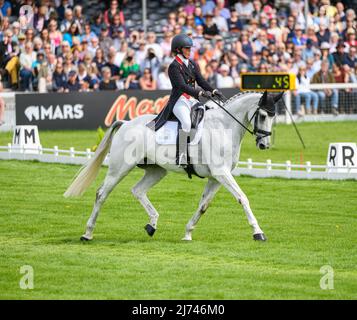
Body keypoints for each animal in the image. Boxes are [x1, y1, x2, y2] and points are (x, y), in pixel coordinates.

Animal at [63, 91, 280, 241]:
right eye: (262, 115)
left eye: (273, 117)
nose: (264, 144)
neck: (223, 127)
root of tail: (126, 123)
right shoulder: (221, 174)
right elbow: (242, 198)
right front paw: (258, 232)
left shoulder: (216, 177)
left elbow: (203, 206)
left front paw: (187, 233)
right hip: (120, 168)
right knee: (101, 194)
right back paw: (87, 233)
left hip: (157, 171)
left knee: (138, 190)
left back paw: (152, 225)